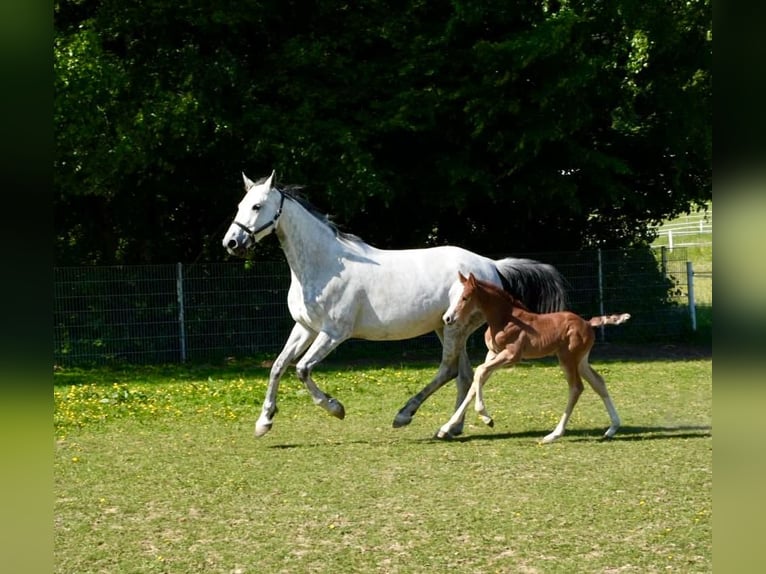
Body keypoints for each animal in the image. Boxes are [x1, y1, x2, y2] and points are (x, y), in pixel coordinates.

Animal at [222, 172, 569, 437]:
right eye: (239, 205)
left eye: (257, 205)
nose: (232, 243)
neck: (324, 264)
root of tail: (491, 266)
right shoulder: (305, 328)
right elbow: (279, 366)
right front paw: (264, 422)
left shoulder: (333, 333)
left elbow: (302, 369)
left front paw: (336, 409)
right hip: (447, 326)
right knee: (464, 374)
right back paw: (450, 428)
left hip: (454, 328)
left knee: (448, 370)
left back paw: (407, 416)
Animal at [437, 272, 629, 442]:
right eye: (453, 298)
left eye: (465, 298)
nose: (447, 318)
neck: (505, 318)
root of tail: (588, 323)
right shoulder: (492, 353)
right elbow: (476, 383)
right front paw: (445, 428)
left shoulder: (511, 355)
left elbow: (479, 372)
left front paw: (486, 418)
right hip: (580, 360)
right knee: (598, 382)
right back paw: (612, 428)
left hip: (567, 358)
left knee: (576, 388)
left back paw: (554, 435)